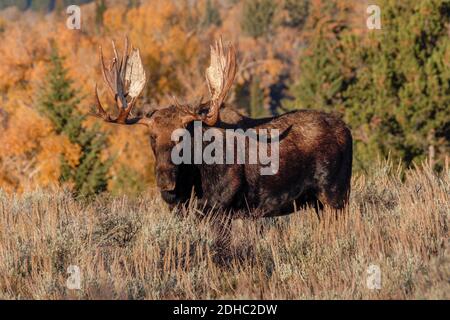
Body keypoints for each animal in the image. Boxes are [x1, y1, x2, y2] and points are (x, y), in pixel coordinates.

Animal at [93, 37, 354, 238]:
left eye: (182, 136)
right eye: (152, 136)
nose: (165, 180)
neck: (191, 182)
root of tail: (347, 130)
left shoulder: (222, 208)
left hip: (336, 194)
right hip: (319, 202)